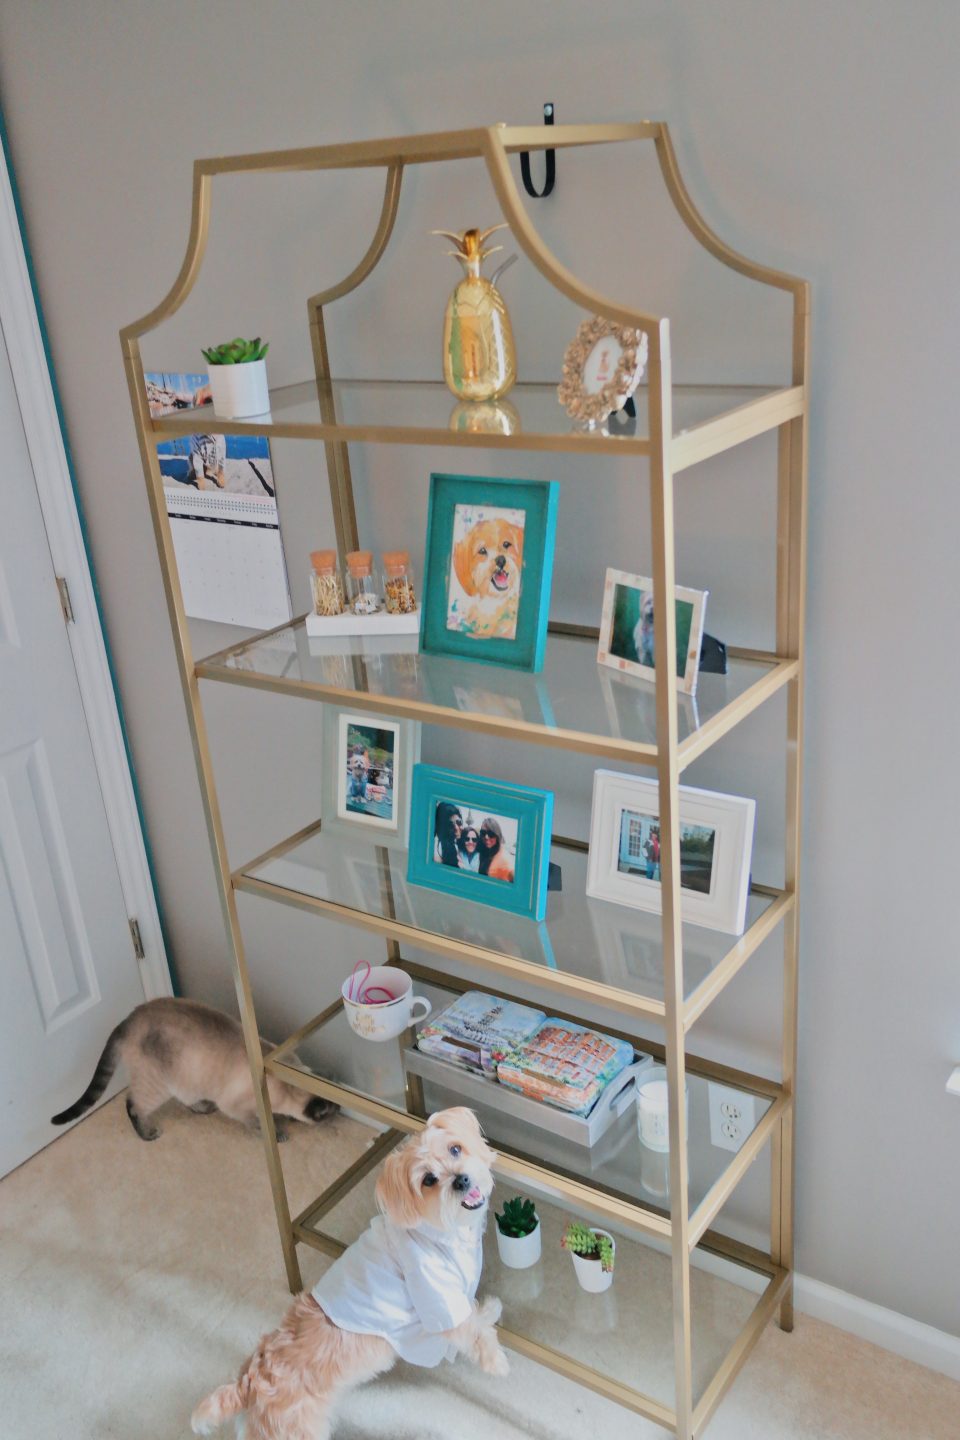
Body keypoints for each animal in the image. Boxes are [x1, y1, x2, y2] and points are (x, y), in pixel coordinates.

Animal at [53, 996, 338, 1140]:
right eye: (330, 1112)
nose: (338, 1113)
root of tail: (129, 1019)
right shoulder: (236, 1107)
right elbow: (255, 1123)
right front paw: (277, 1133)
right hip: (157, 1086)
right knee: (132, 1104)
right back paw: (149, 1133)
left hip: (186, 1078)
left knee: (185, 1098)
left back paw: (203, 1108)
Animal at [192, 1105, 509, 1434]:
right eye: (429, 1180)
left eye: (455, 1149)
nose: (461, 1180)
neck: (441, 1231)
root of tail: (249, 1382)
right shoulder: (435, 1294)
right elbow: (470, 1328)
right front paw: (496, 1361)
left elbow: (474, 1312)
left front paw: (490, 1309)